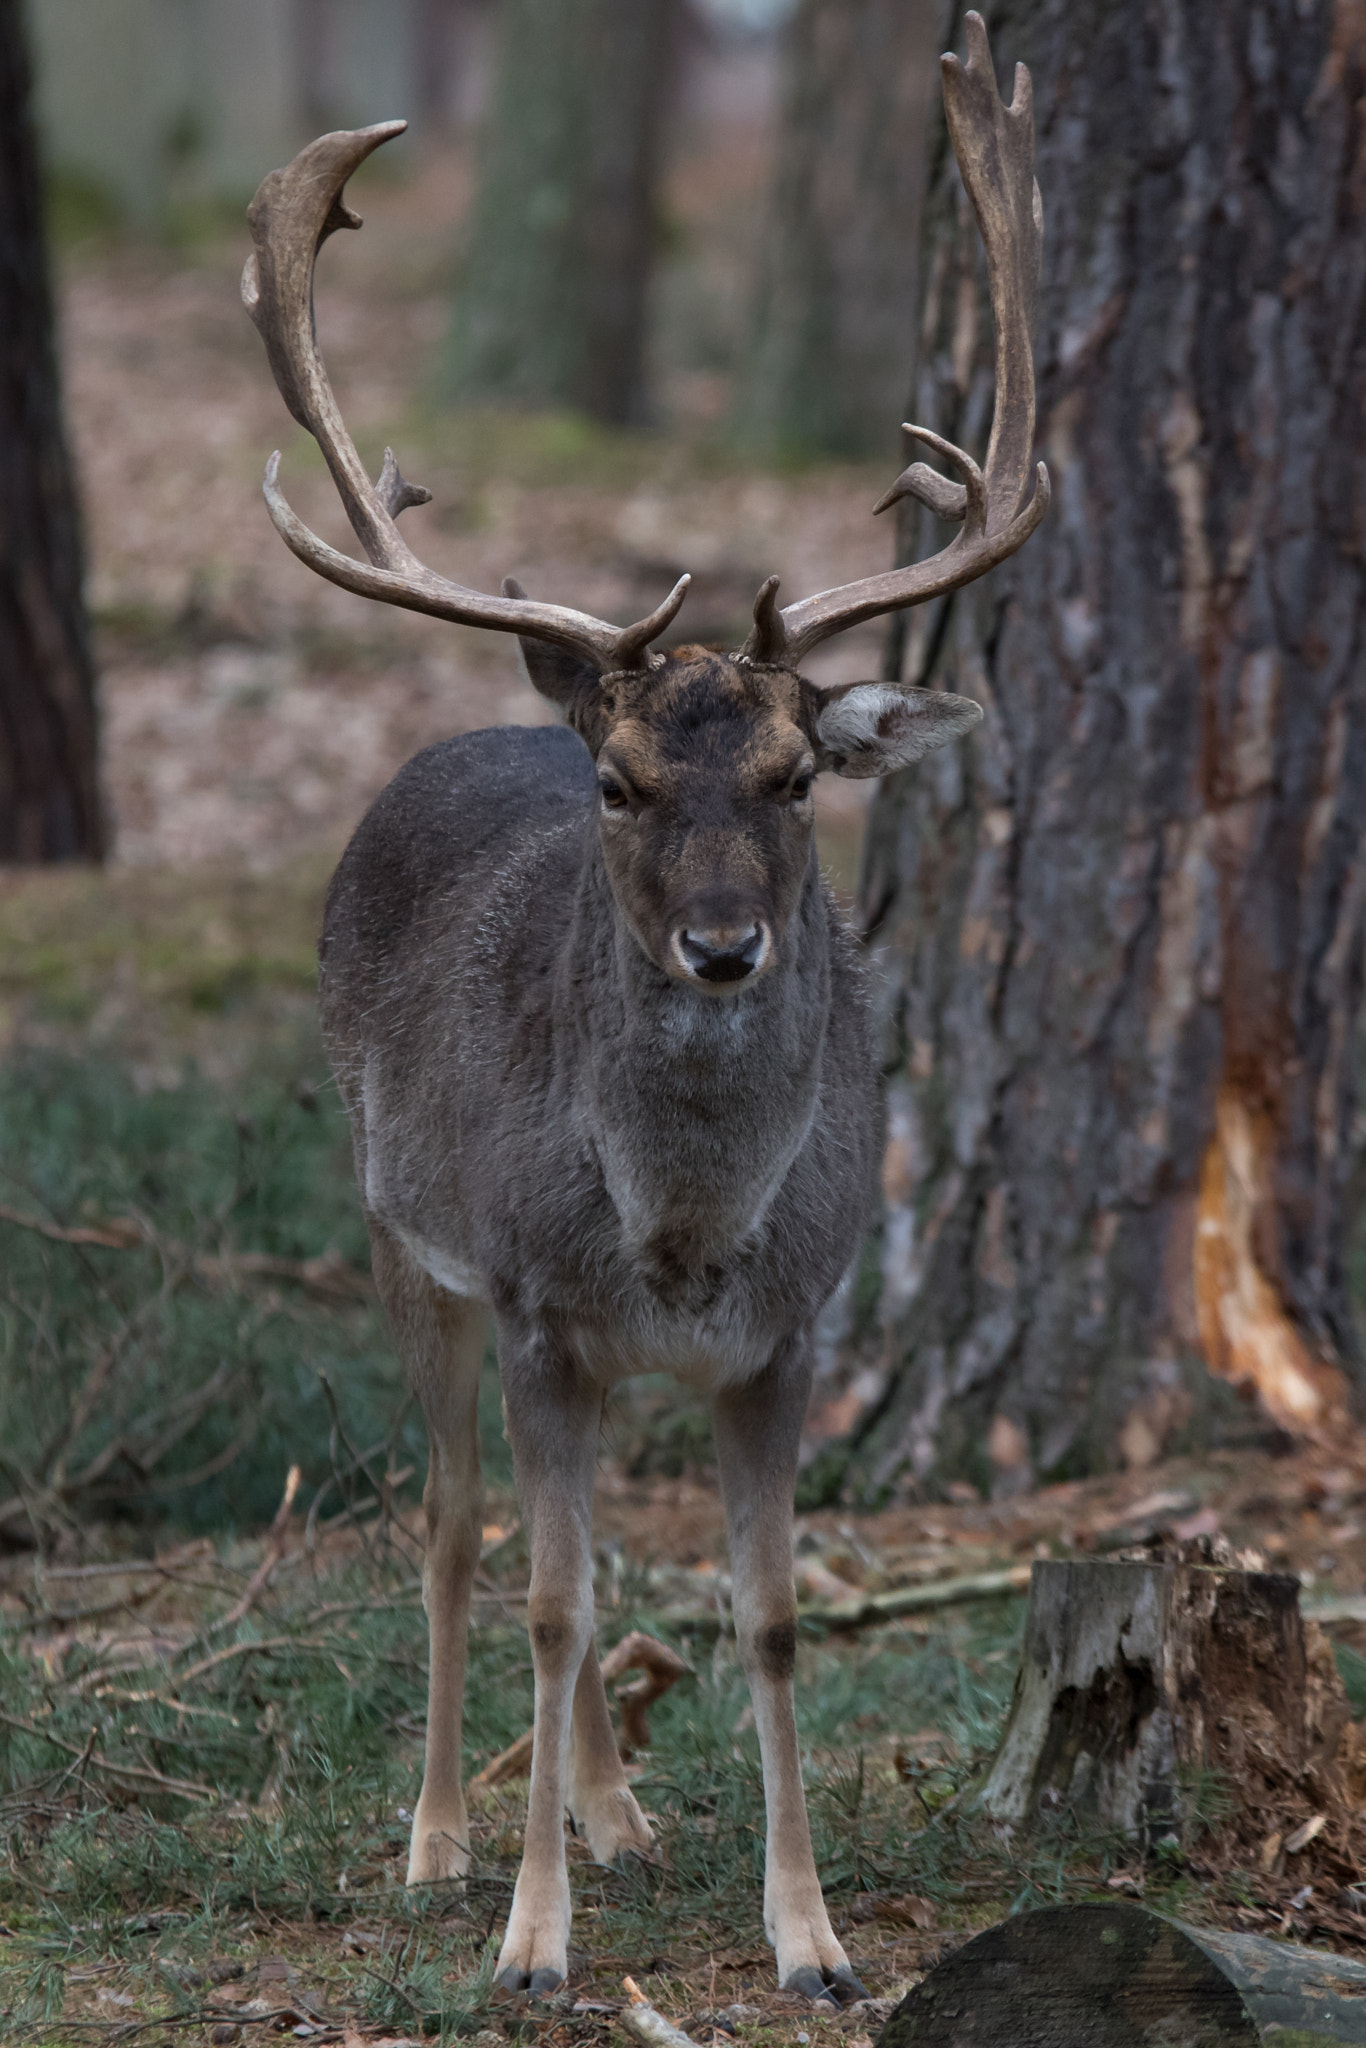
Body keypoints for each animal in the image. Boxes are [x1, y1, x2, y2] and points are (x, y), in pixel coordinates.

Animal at [241, 12, 1046, 2007]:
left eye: (794, 775)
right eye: (616, 784)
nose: (725, 948)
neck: (681, 1224)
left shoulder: (792, 1327)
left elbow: (764, 1614)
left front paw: (811, 1936)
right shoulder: (534, 1298)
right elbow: (541, 1592)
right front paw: (528, 1941)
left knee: (585, 1556)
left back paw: (616, 1814)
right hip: (399, 1228)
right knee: (461, 1533)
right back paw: (443, 1842)